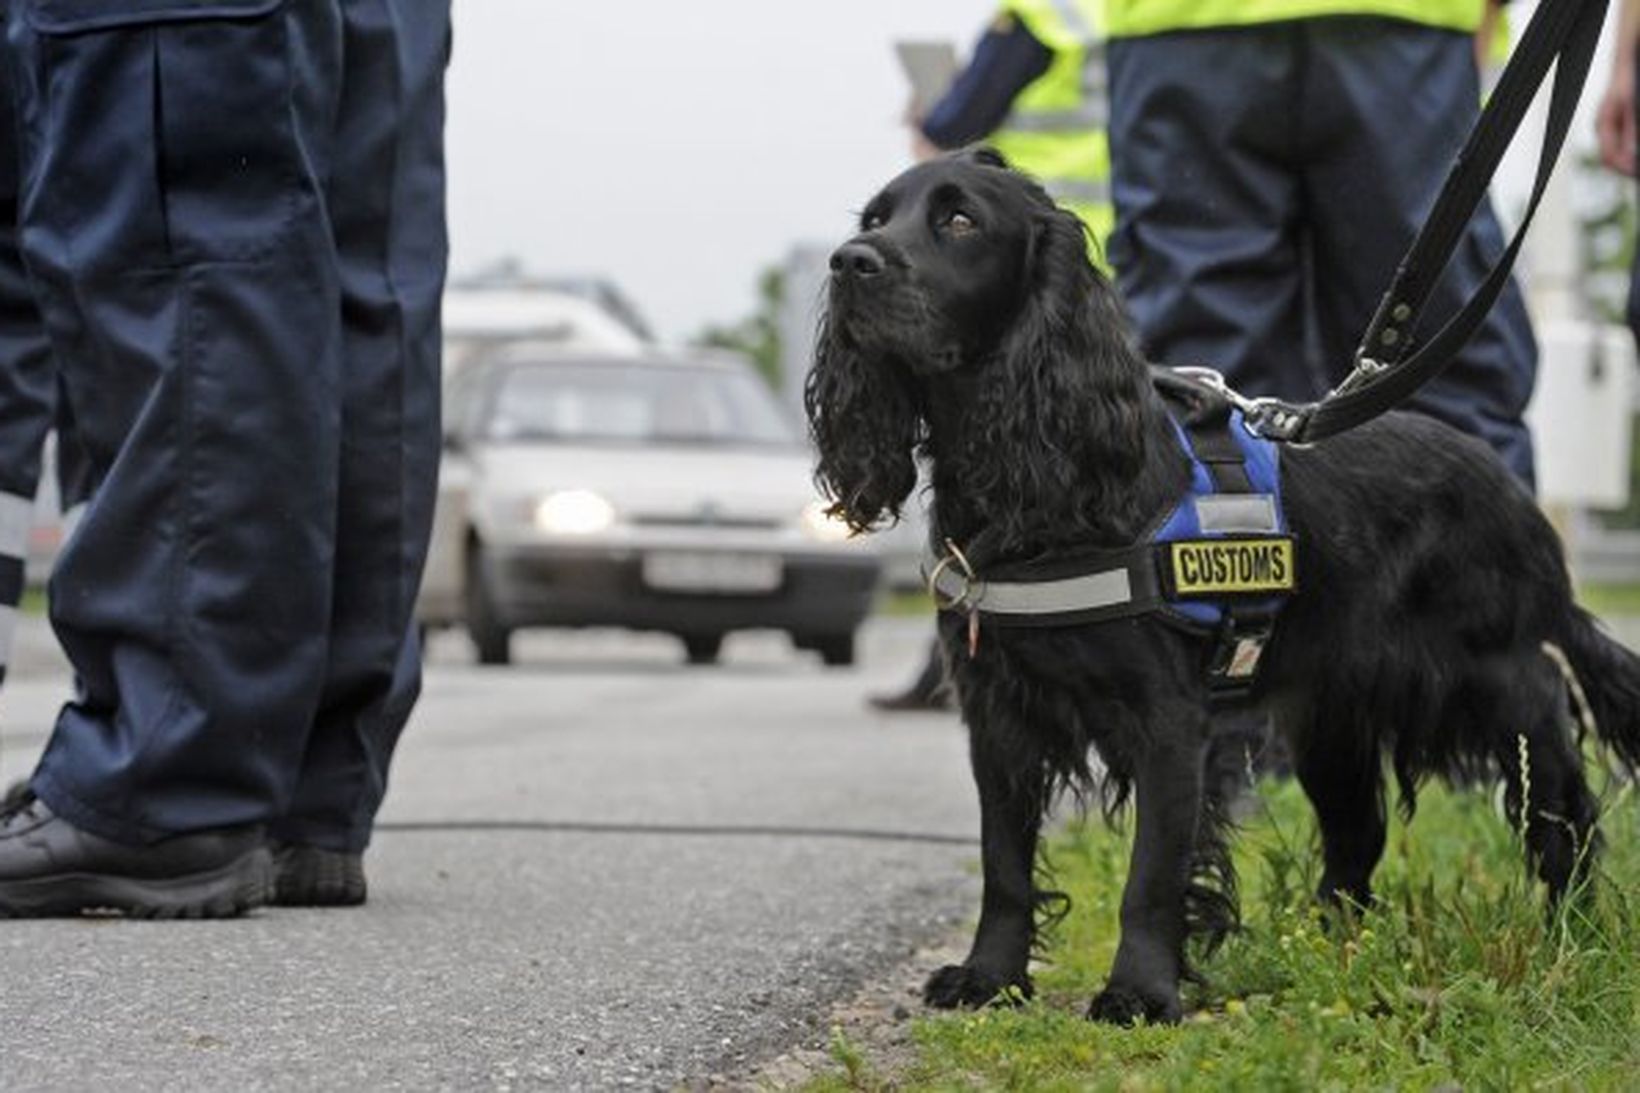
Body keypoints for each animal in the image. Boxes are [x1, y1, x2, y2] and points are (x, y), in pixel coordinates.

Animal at [806, 150, 1640, 1024]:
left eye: (960, 221)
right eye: (875, 219)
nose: (848, 262)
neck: (1031, 489)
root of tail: (1513, 494)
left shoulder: (1170, 722)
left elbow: (1151, 874)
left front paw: (1140, 990)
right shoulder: (999, 716)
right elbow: (1004, 862)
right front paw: (990, 977)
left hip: (1508, 691)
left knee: (1564, 819)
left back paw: (1573, 939)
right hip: (1329, 722)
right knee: (1357, 836)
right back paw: (1327, 956)